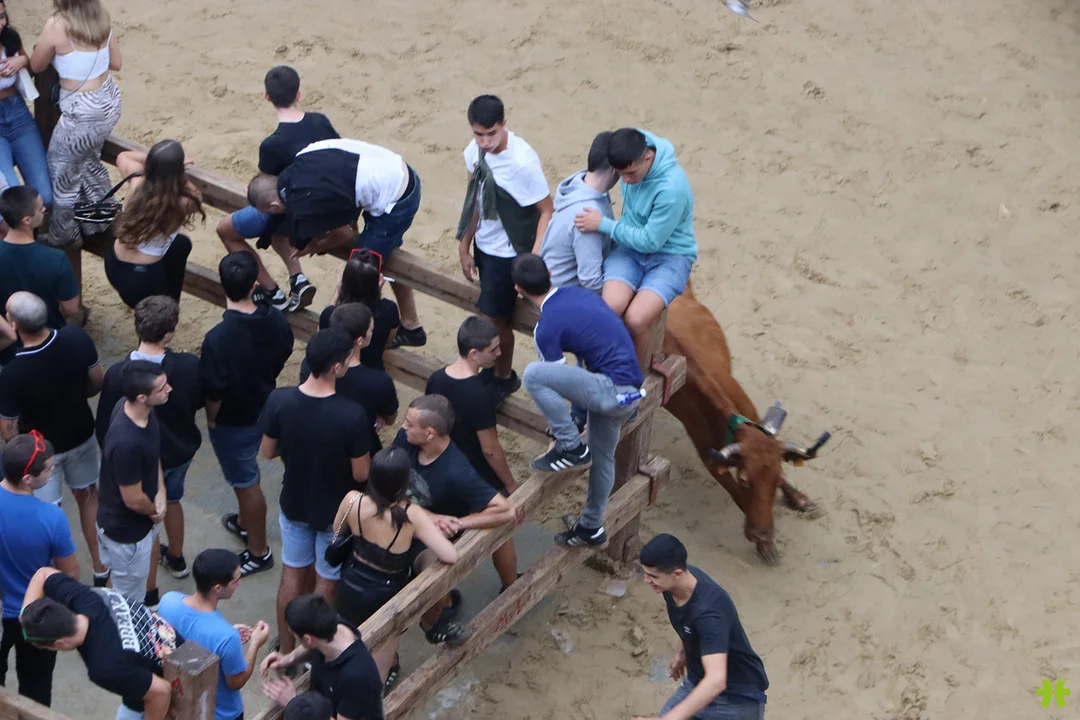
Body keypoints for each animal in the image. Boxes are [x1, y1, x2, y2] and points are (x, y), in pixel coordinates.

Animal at [662, 280, 829, 565]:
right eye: (743, 480)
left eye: (776, 478)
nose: (762, 532)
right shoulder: (709, 454)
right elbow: (736, 495)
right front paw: (764, 543)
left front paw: (799, 499)